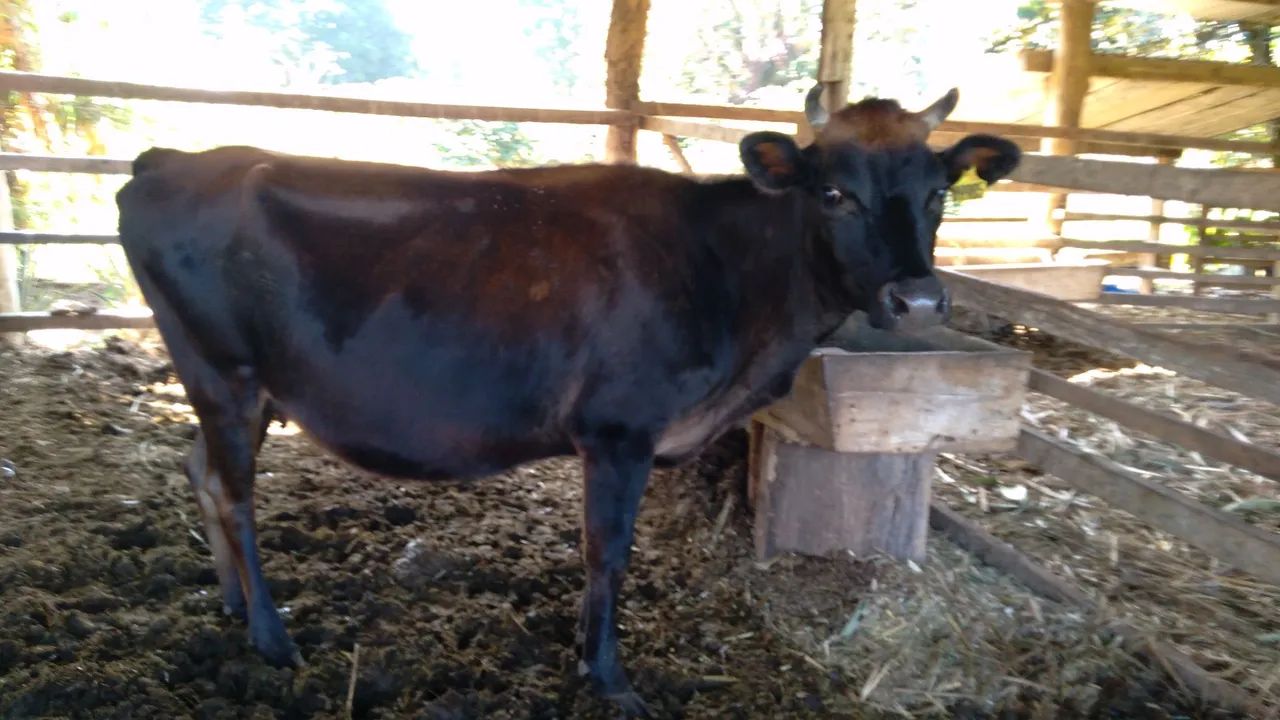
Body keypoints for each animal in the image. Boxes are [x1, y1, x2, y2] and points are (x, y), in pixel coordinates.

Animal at [115, 85, 1019, 716]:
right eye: (834, 193)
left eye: (939, 192)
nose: (918, 302)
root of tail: (168, 160)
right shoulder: (618, 430)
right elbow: (606, 553)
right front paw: (608, 674)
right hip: (224, 373)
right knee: (234, 494)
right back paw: (271, 637)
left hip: (237, 388)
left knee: (202, 473)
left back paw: (233, 603)